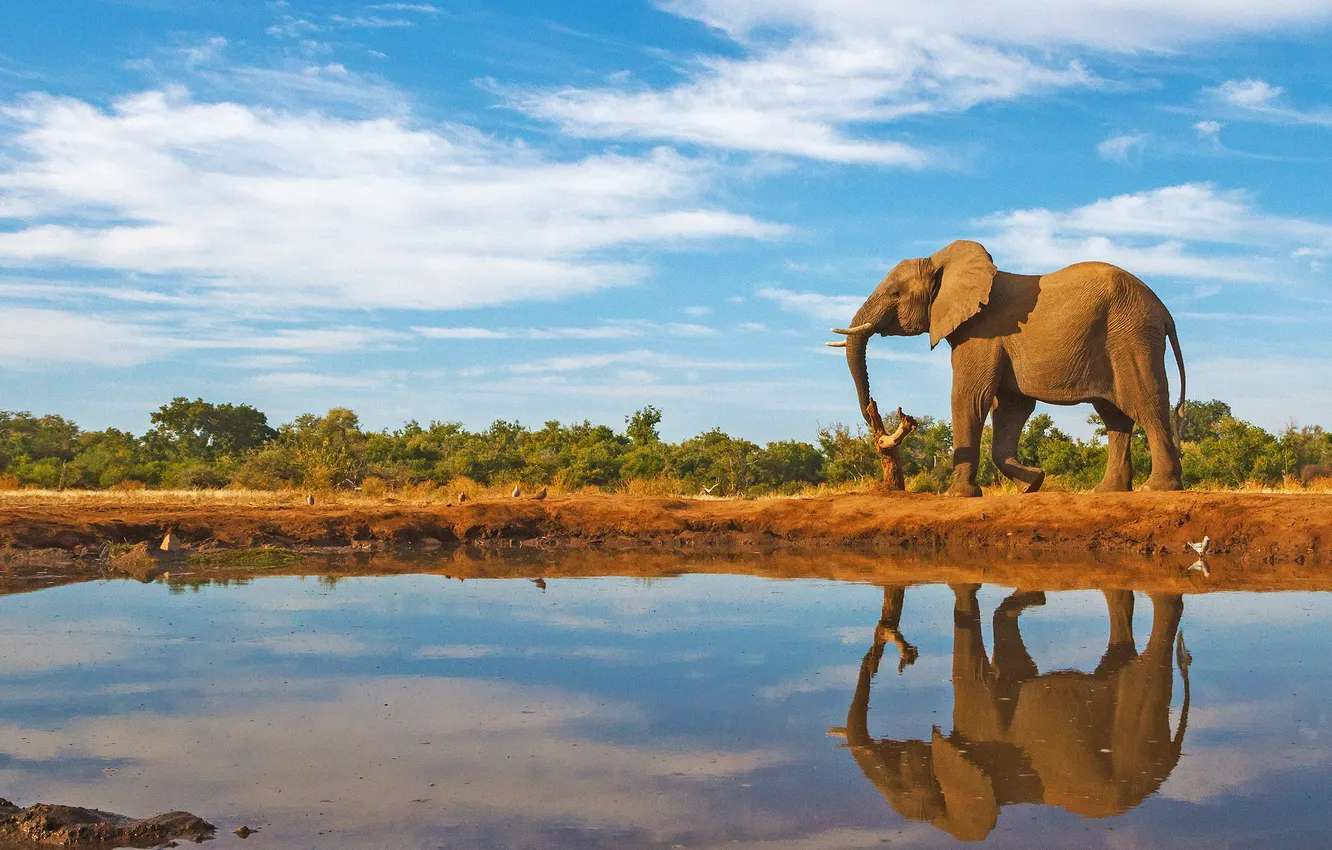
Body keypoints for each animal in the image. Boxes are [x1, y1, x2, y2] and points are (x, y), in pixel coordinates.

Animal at [831, 239, 1188, 495]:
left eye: (895, 293)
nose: (874, 411)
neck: (942, 263)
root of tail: (1164, 311)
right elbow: (1010, 408)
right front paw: (1033, 484)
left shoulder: (981, 332)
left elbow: (970, 398)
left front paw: (958, 495)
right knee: (1115, 416)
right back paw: (1107, 491)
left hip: (1131, 336)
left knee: (1145, 402)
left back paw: (1156, 488)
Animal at [831, 583, 1198, 842]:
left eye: (901, 781)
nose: (886, 657)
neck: (948, 819)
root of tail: (1168, 762)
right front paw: (1035, 597)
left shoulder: (981, 727)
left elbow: (973, 668)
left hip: (1135, 735)